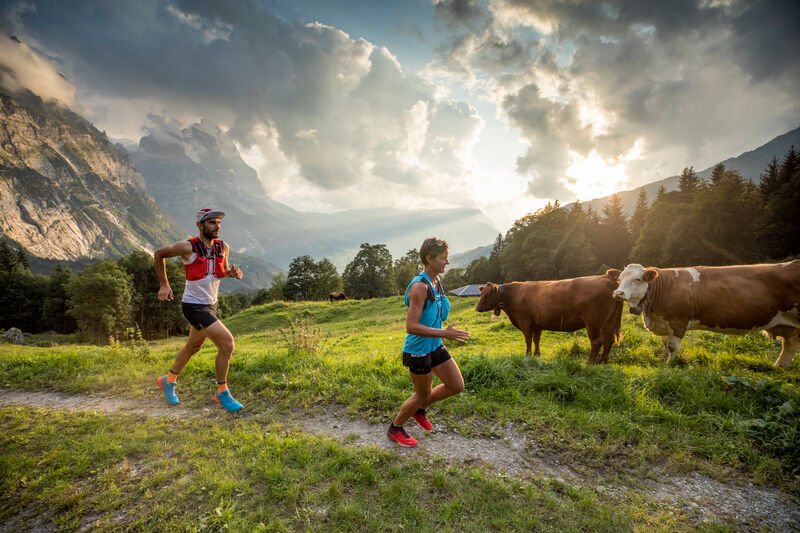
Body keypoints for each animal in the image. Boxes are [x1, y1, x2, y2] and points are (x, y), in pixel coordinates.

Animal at [476, 270, 624, 362]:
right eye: (481, 294)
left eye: (487, 295)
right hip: (609, 322)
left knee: (597, 341)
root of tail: (606, 276)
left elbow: (528, 340)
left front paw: (527, 355)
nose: (477, 308)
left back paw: (590, 362)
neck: (512, 295)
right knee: (609, 340)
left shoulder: (525, 323)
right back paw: (602, 361)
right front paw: (537, 354)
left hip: (593, 323)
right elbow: (536, 340)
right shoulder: (537, 324)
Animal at [612, 260, 800, 366]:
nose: (618, 293)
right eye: (619, 279)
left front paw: (668, 365)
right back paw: (778, 367)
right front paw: (662, 360)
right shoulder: (664, 322)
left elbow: (672, 347)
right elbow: (665, 344)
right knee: (790, 346)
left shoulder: (678, 321)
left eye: (637, 279)